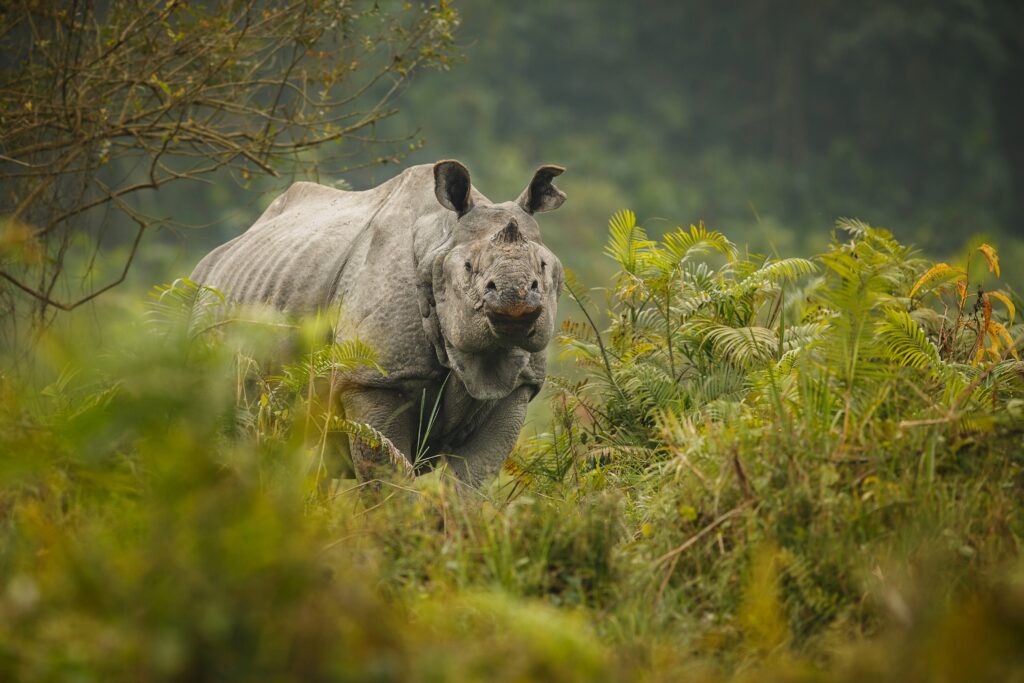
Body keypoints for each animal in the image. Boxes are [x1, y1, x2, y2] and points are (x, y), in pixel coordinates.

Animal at [190, 160, 566, 485]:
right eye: (469, 267)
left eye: (544, 266)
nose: (514, 298)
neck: (440, 242)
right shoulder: (374, 379)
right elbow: (388, 480)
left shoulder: (518, 387)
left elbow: (471, 483)